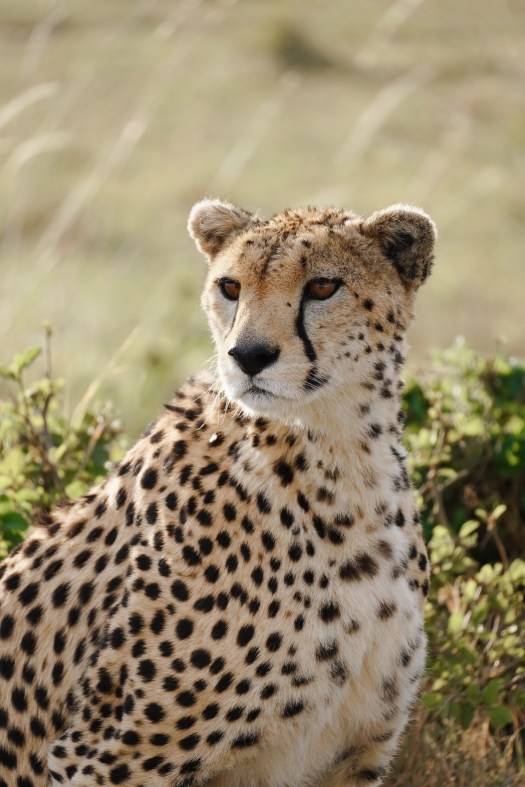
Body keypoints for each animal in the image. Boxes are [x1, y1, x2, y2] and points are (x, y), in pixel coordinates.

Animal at [0, 197, 436, 787]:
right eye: (230, 287)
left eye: (323, 287)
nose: (248, 355)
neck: (342, 459)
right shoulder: (102, 757)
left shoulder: (354, 753)